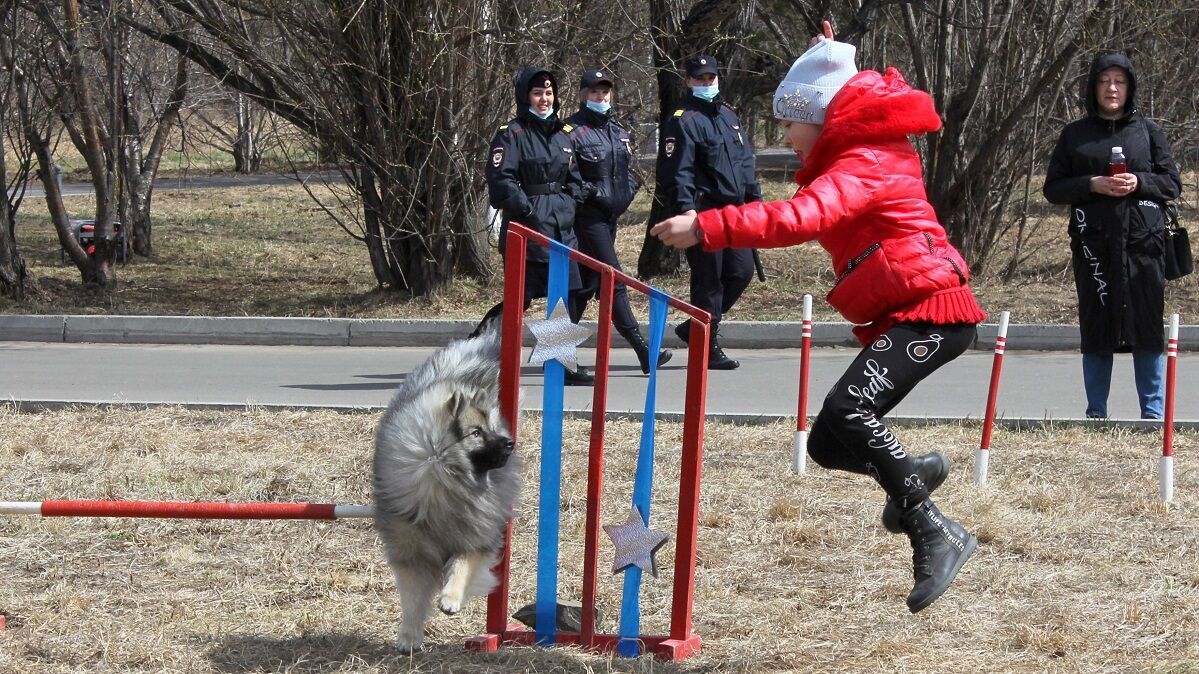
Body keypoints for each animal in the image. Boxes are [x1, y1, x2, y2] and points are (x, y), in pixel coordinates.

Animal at [369, 328, 520, 652]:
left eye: (491, 427)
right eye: (476, 433)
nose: (509, 442)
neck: (446, 475)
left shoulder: (474, 536)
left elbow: (462, 565)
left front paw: (450, 598)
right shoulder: (410, 550)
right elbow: (413, 598)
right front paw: (409, 636)